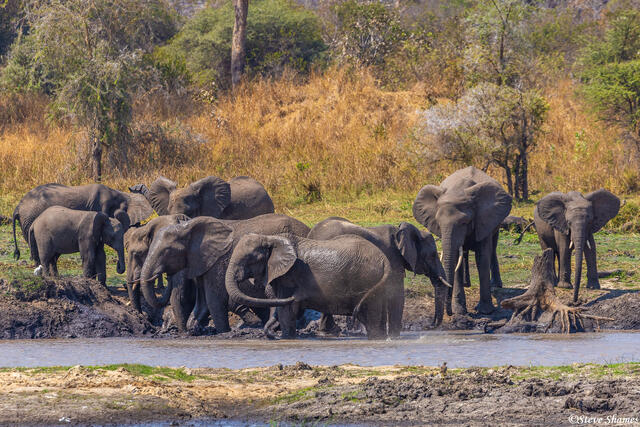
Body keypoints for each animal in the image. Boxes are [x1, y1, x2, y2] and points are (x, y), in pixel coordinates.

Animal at [139, 214, 311, 334]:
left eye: (167, 251)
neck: (188, 227)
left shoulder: (218, 261)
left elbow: (214, 300)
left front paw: (224, 333)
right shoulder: (202, 262)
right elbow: (202, 303)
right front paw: (194, 330)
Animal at [225, 233, 393, 339]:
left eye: (250, 258)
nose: (271, 336)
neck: (270, 238)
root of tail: (383, 258)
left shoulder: (289, 275)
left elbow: (285, 310)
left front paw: (286, 338)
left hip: (368, 278)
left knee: (371, 319)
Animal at [308, 218, 450, 331]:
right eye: (432, 255)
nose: (429, 326)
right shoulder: (393, 258)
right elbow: (396, 294)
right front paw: (394, 337)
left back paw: (330, 331)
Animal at [413, 166, 512, 319]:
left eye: (465, 222)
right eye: (439, 223)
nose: (449, 313)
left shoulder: (484, 218)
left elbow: (482, 258)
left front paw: (486, 311)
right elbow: (456, 262)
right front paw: (459, 311)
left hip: (497, 220)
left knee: (493, 247)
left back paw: (496, 285)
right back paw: (467, 284)